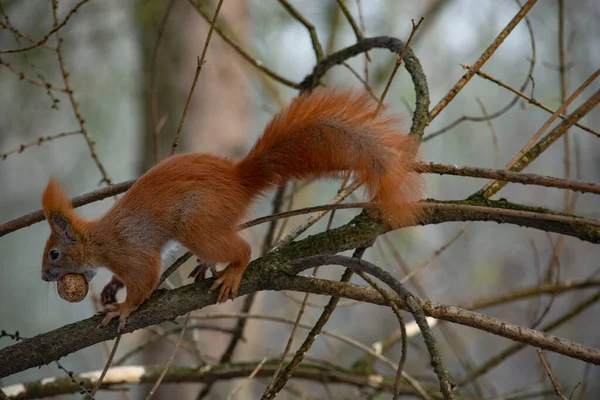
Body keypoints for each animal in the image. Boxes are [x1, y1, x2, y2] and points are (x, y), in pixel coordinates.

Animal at [39, 89, 424, 330]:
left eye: (54, 253)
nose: (43, 277)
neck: (98, 241)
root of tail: (239, 180)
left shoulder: (130, 251)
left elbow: (145, 280)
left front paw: (123, 307)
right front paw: (111, 288)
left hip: (196, 223)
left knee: (241, 248)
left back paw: (232, 270)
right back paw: (207, 266)